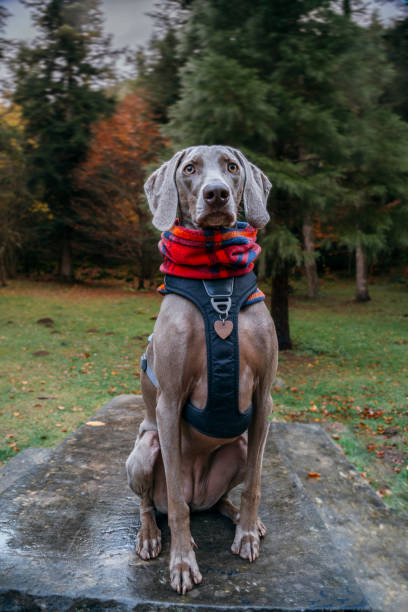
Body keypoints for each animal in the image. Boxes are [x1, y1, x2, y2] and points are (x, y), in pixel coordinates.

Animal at [126, 145, 278, 592]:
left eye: (232, 167)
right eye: (190, 169)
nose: (217, 194)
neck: (217, 279)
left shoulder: (264, 397)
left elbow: (255, 485)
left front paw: (247, 533)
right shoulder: (169, 402)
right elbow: (175, 505)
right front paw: (181, 563)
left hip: (239, 448)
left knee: (219, 499)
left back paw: (239, 519)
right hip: (144, 450)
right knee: (156, 504)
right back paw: (151, 536)